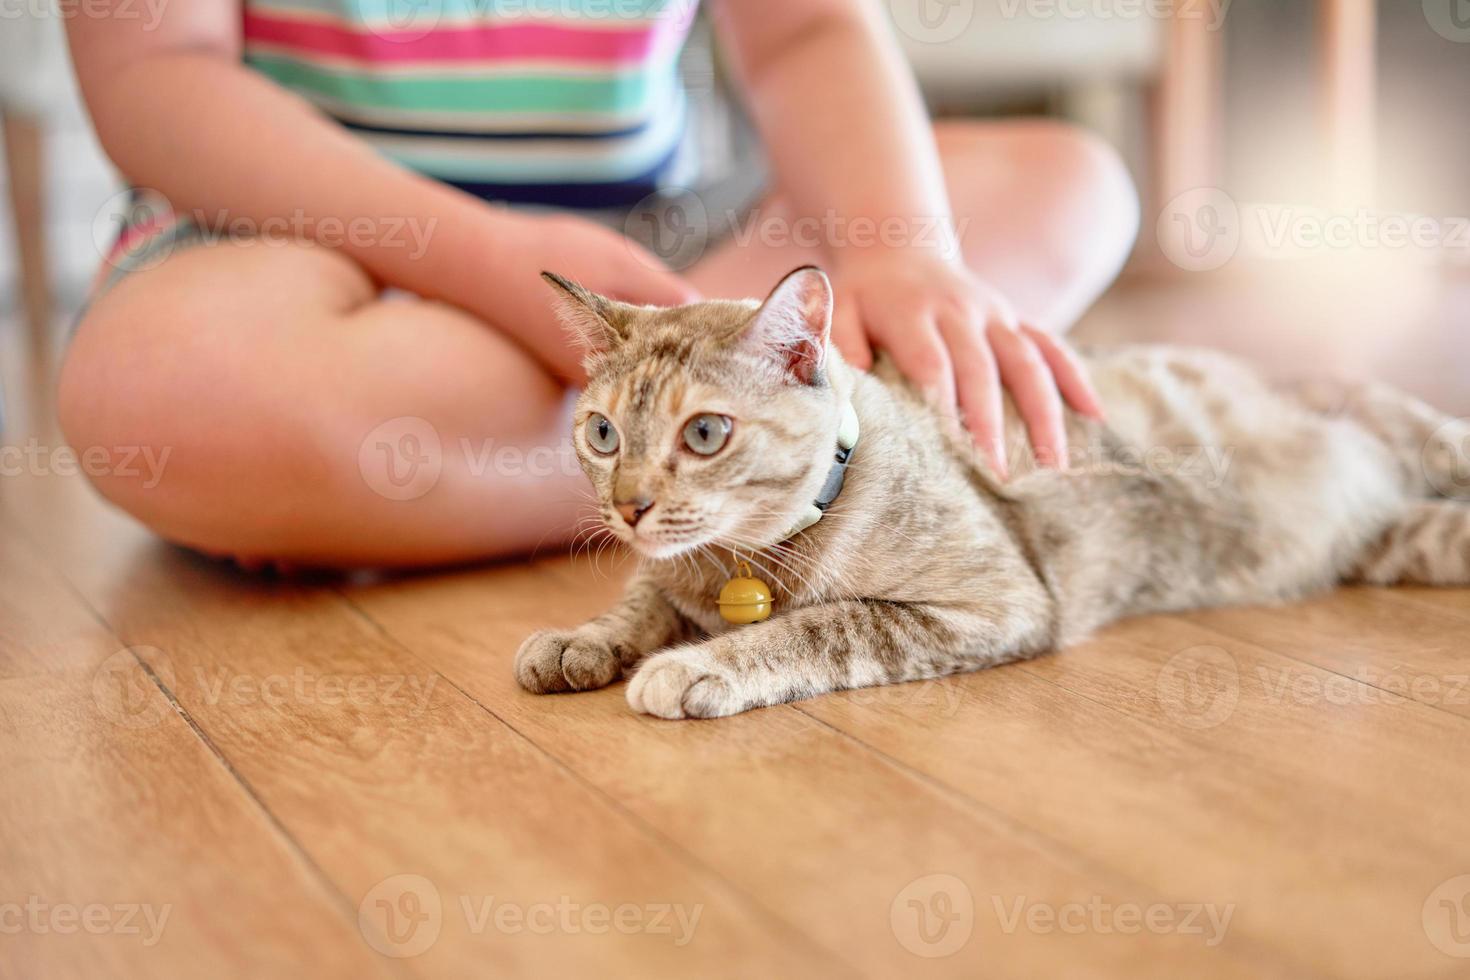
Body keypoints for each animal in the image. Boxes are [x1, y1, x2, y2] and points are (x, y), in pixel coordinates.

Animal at [514, 265, 1470, 719]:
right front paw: (578, 642)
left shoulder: (994, 602)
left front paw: (696, 666)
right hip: (1405, 545)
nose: (628, 506)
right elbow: (635, 603)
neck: (735, 569)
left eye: (705, 435)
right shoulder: (665, 575)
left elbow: (822, 625)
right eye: (603, 435)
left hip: (1429, 445)